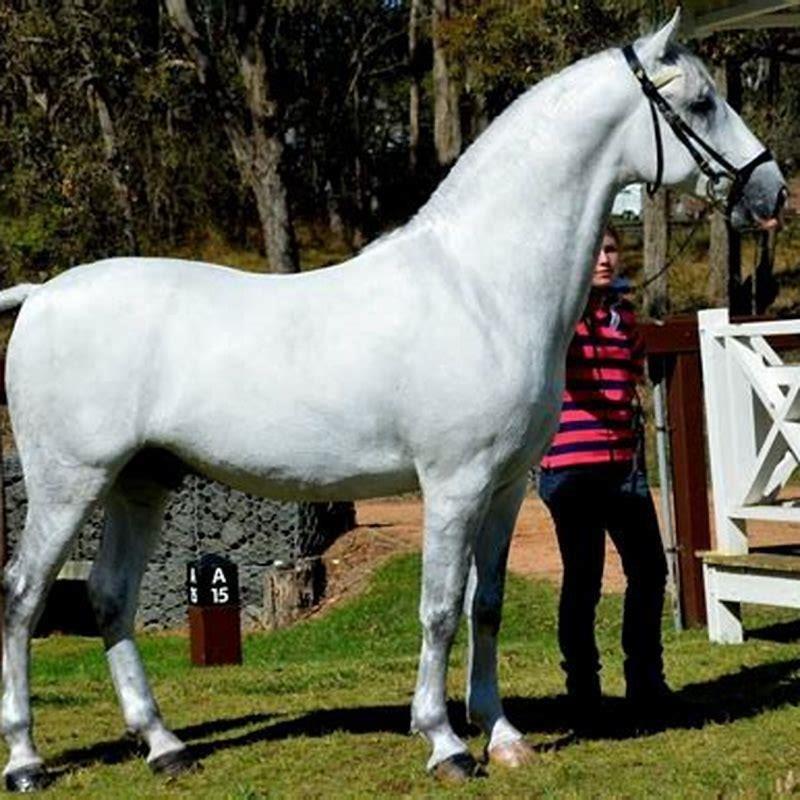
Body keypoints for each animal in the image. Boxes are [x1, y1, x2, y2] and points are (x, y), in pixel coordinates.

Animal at [0, 9, 786, 790]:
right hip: (69, 483)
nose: (772, 193)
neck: (481, 286)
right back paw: (27, 761)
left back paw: (165, 745)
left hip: (140, 480)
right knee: (22, 595)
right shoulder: (453, 485)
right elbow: (439, 609)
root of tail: (40, 295)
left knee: (110, 596)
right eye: (700, 104)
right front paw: (445, 742)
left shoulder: (504, 489)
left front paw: (503, 735)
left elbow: (486, 605)